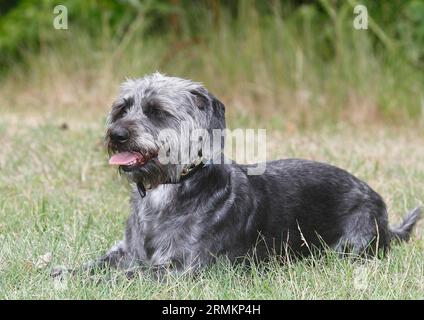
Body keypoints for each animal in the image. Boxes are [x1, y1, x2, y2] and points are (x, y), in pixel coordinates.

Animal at [52, 73, 418, 278]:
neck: (169, 187)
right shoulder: (126, 252)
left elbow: (128, 276)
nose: (116, 134)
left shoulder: (184, 267)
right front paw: (63, 271)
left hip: (349, 248)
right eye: (122, 108)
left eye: (157, 112)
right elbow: (96, 264)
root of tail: (380, 207)